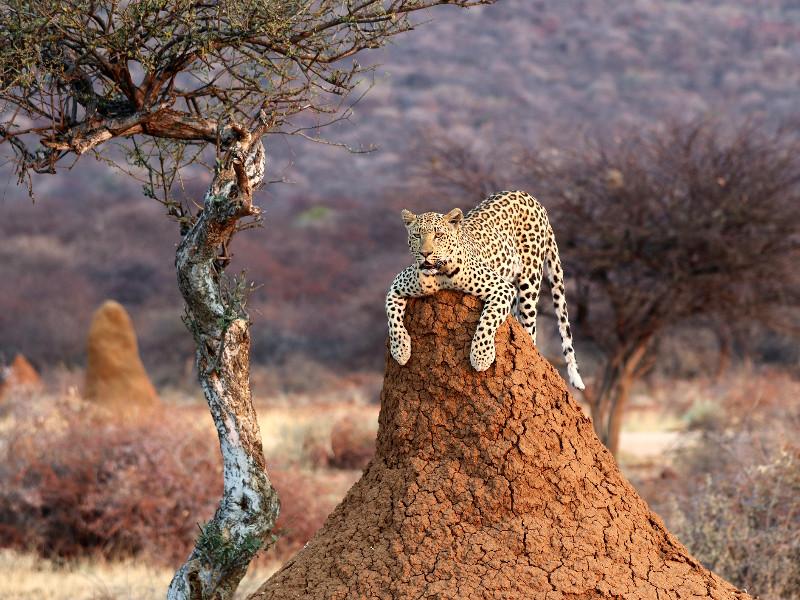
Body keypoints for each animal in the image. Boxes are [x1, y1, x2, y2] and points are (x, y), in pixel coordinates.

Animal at [384, 190, 584, 392]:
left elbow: (487, 320)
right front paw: (400, 350)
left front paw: (481, 357)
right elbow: (392, 319)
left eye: (438, 235)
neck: (440, 274)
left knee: (530, 329)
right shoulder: (396, 287)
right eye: (417, 235)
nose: (425, 253)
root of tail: (530, 197)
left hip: (530, 280)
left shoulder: (502, 288)